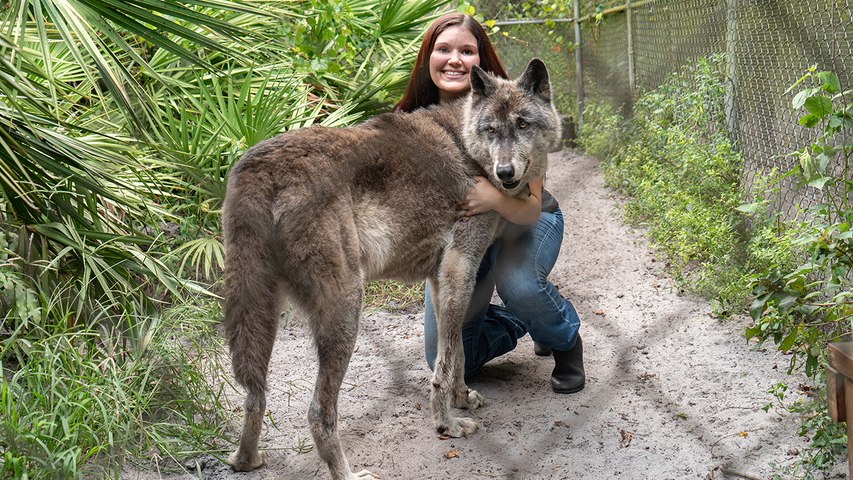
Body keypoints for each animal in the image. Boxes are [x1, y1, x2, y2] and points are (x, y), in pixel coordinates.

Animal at [223, 58, 564, 478]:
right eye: (491, 130)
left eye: (522, 124)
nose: (503, 172)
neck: (465, 145)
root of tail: (260, 168)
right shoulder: (459, 265)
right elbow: (446, 360)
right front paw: (446, 424)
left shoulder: (441, 278)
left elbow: (455, 352)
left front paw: (462, 397)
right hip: (345, 310)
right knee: (318, 411)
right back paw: (348, 474)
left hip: (261, 315)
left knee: (254, 395)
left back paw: (246, 460)